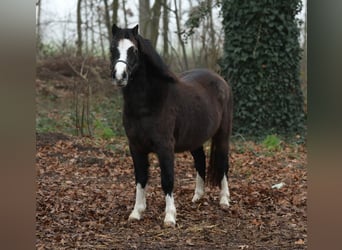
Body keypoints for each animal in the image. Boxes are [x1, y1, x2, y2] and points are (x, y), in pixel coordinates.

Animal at [109, 24, 232, 227]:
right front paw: (137, 212)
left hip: (223, 135)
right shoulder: (135, 147)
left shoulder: (164, 147)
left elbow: (167, 179)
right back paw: (197, 197)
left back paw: (224, 199)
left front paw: (169, 217)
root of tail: (221, 80)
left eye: (133, 50)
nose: (120, 76)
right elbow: (140, 178)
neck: (148, 102)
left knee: (223, 163)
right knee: (200, 161)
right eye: (112, 48)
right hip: (194, 139)